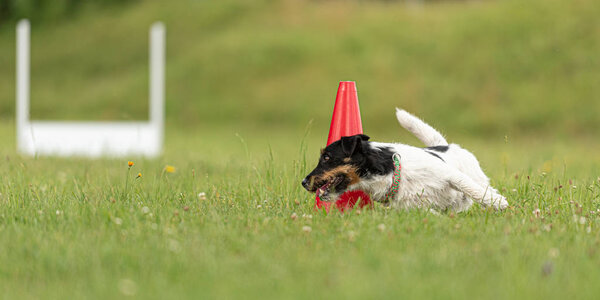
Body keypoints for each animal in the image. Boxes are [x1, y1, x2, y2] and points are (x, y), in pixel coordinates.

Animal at [302, 109, 508, 212]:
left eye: (326, 157)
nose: (304, 182)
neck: (392, 172)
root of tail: (443, 145)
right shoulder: (414, 208)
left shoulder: (448, 174)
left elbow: (468, 187)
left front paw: (498, 203)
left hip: (475, 175)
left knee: (481, 186)